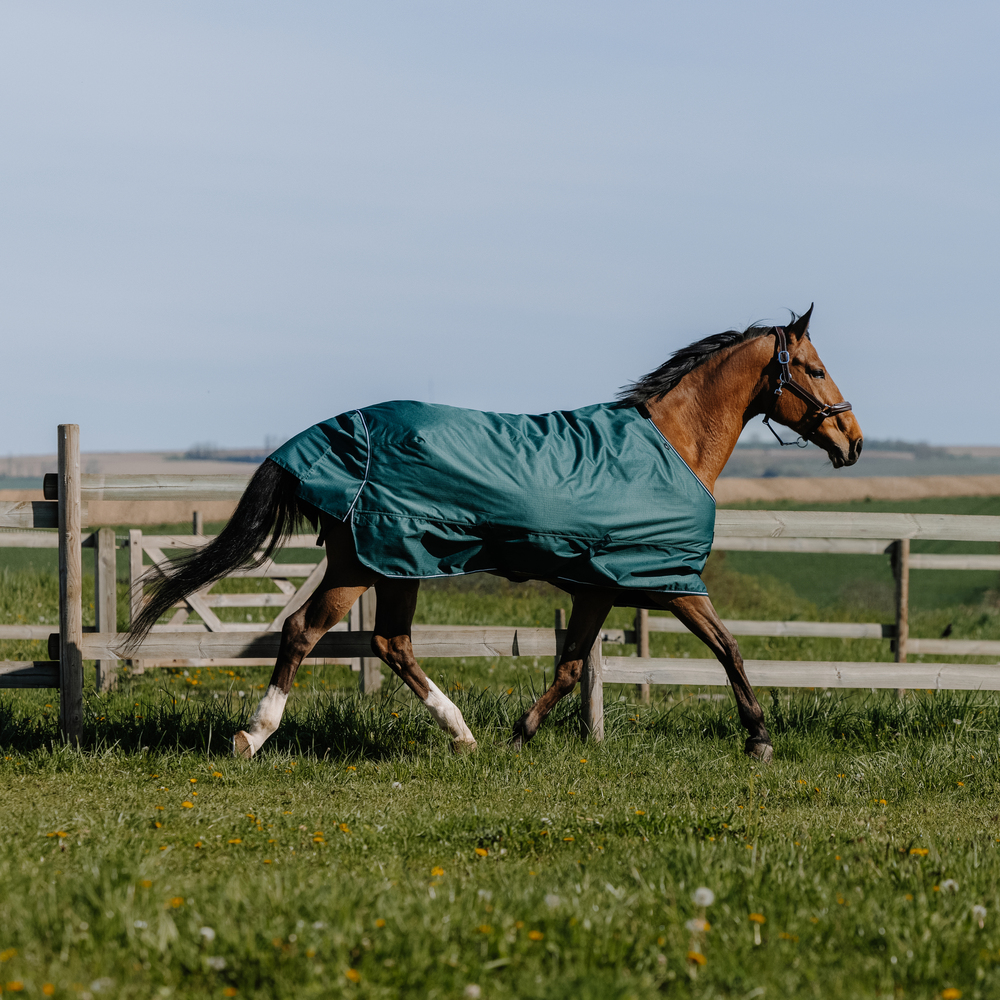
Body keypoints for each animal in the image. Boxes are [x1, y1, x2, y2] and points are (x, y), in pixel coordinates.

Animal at [127, 305, 862, 763]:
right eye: (817, 369)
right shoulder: (668, 580)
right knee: (303, 631)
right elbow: (729, 648)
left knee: (392, 644)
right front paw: (759, 739)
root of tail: (320, 438)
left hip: (396, 565)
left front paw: (520, 734)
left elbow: (571, 667)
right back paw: (254, 735)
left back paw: (464, 735)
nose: (852, 440)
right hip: (361, 563)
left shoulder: (599, 586)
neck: (672, 446)